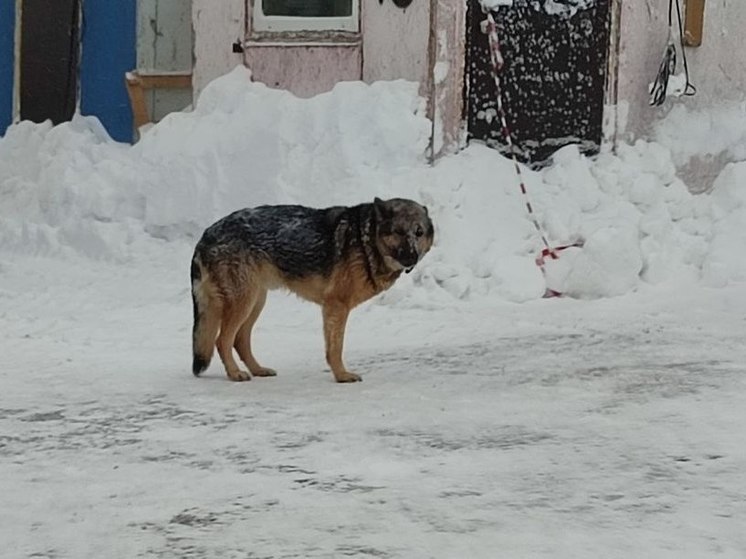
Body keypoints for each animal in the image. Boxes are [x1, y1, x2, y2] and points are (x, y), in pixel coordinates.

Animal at [189, 197, 434, 384]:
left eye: (419, 232)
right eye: (398, 232)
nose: (411, 258)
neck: (367, 242)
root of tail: (205, 235)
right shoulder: (336, 306)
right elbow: (335, 349)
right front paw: (342, 376)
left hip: (255, 302)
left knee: (239, 340)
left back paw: (258, 370)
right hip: (244, 302)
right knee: (222, 341)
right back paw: (235, 374)